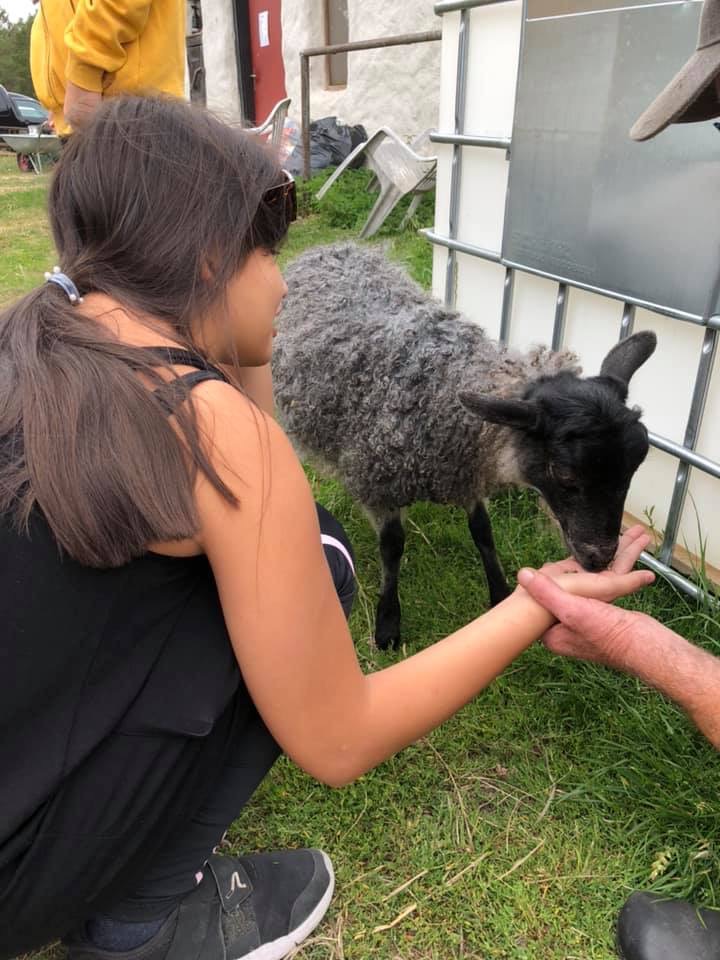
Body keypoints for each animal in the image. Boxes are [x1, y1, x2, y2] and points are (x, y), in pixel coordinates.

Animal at [272, 240, 660, 648]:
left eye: (635, 467)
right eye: (565, 474)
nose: (599, 561)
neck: (441, 390)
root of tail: (331, 248)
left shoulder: (465, 473)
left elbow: (482, 531)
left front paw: (501, 594)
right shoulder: (379, 479)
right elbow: (392, 545)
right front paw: (388, 623)